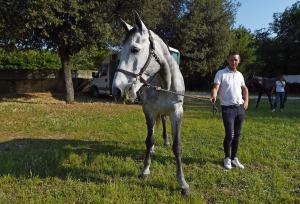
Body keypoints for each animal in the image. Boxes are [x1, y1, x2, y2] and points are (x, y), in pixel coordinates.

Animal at [111, 11, 189, 195]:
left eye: (135, 49)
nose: (116, 90)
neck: (165, 83)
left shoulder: (177, 112)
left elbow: (177, 147)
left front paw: (182, 183)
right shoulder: (148, 111)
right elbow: (149, 139)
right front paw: (145, 170)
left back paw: (166, 141)